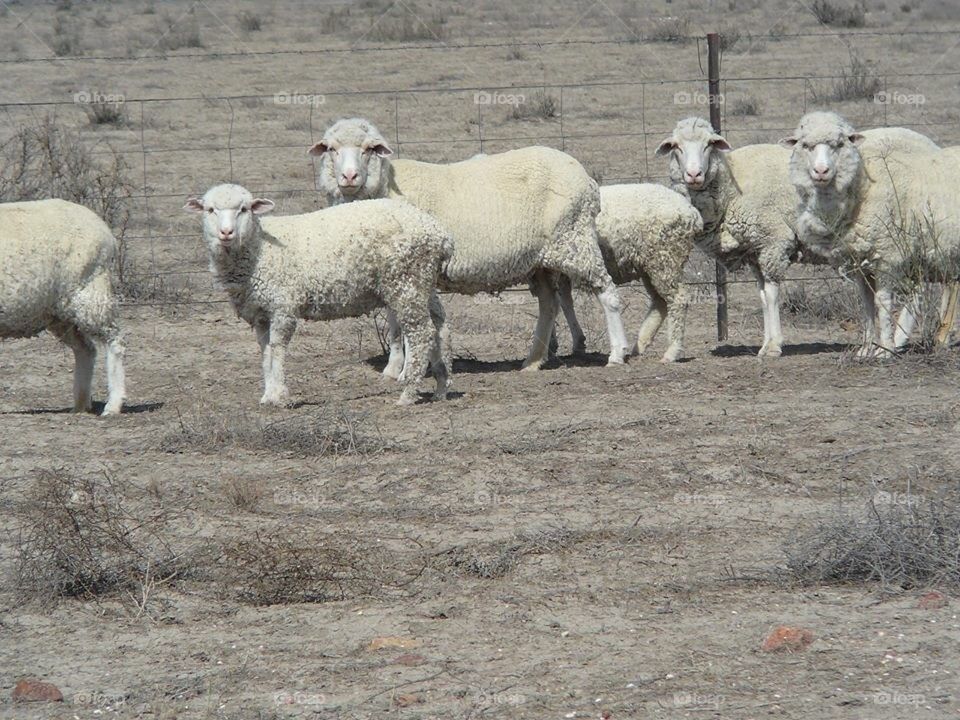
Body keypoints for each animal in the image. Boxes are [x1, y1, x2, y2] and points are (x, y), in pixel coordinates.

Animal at [0, 198, 125, 415]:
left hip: (90, 291)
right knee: (86, 349)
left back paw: (113, 405)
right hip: (60, 313)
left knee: (115, 342)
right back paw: (81, 405)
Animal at [183, 183, 452, 406]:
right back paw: (442, 384)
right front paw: (268, 393)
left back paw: (409, 393)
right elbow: (266, 352)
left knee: (421, 333)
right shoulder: (260, 312)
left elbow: (277, 349)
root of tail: (439, 233)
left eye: (243, 209)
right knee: (439, 325)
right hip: (422, 283)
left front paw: (278, 395)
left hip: (407, 281)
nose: (226, 233)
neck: (259, 248)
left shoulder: (283, 307)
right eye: (210, 210)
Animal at [309, 118, 629, 374]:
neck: (385, 187)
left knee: (607, 293)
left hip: (575, 240)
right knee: (549, 305)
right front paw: (395, 367)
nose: (349, 177)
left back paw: (617, 353)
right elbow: (395, 321)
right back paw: (533, 360)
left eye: (369, 149)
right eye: (331, 149)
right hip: (540, 260)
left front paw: (408, 368)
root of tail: (586, 178)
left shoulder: (409, 269)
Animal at [553, 183, 702, 363]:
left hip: (666, 258)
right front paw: (571, 343)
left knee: (678, 298)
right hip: (650, 266)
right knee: (660, 301)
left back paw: (671, 351)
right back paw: (641, 344)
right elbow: (564, 303)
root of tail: (691, 212)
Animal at [781, 111, 960, 357]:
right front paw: (866, 348)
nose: (821, 171)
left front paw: (885, 349)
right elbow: (866, 304)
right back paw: (940, 337)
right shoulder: (859, 262)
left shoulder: (887, 256)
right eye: (806, 145)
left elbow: (882, 303)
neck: (863, 187)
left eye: (839, 144)